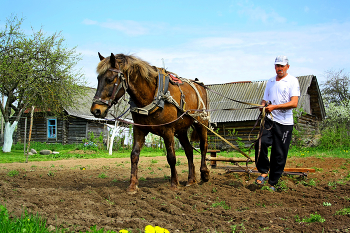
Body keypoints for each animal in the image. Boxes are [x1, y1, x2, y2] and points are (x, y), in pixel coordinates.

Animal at [91, 52, 209, 193]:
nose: (96, 110)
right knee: (189, 150)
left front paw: (174, 184)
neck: (152, 95)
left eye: (110, 79)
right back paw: (191, 180)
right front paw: (132, 185)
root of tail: (200, 85)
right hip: (181, 130)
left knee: (203, 146)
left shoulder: (168, 130)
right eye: (98, 78)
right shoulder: (139, 129)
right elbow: (134, 155)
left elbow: (171, 157)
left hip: (201, 123)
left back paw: (204, 173)